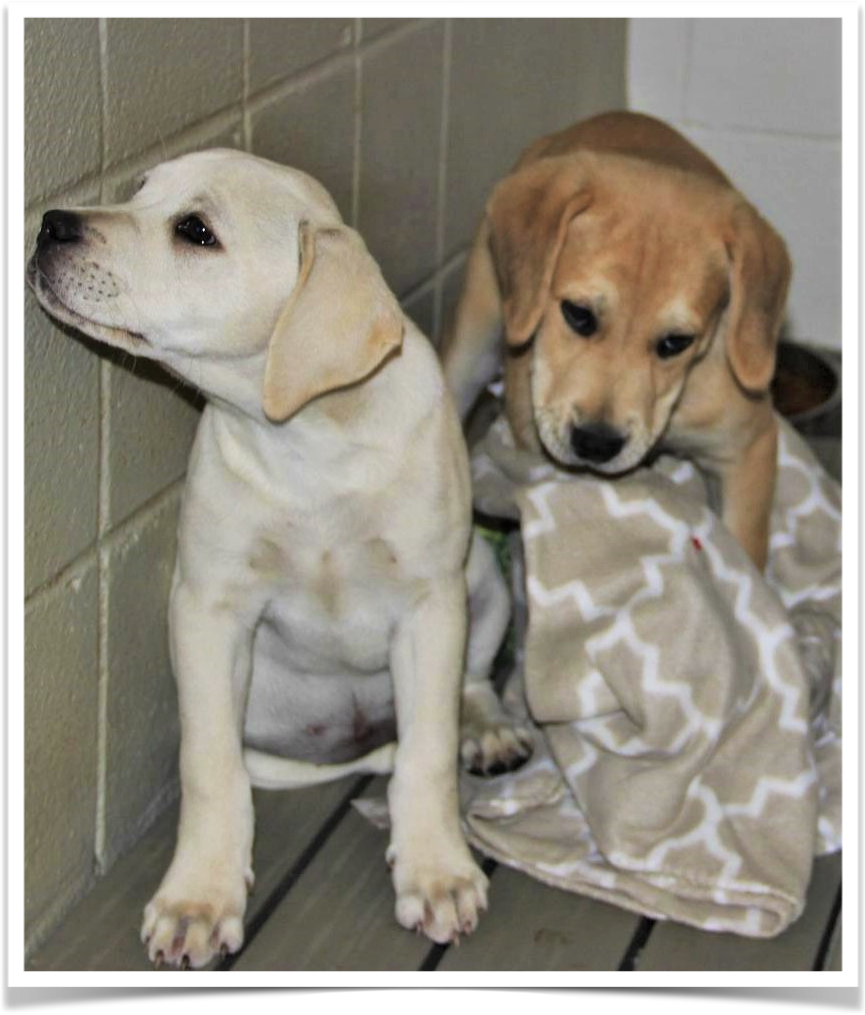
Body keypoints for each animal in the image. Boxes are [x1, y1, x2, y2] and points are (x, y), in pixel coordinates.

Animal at [27, 148, 531, 966]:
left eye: (195, 231)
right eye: (138, 190)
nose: (50, 224)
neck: (308, 439)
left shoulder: (429, 605)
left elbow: (426, 754)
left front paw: (437, 871)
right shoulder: (208, 611)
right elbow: (210, 766)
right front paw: (199, 895)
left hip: (478, 584)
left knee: (472, 684)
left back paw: (485, 729)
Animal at [446, 113, 791, 572]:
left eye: (676, 342)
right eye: (578, 314)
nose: (596, 443)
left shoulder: (746, 447)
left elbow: (745, 549)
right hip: (474, 339)